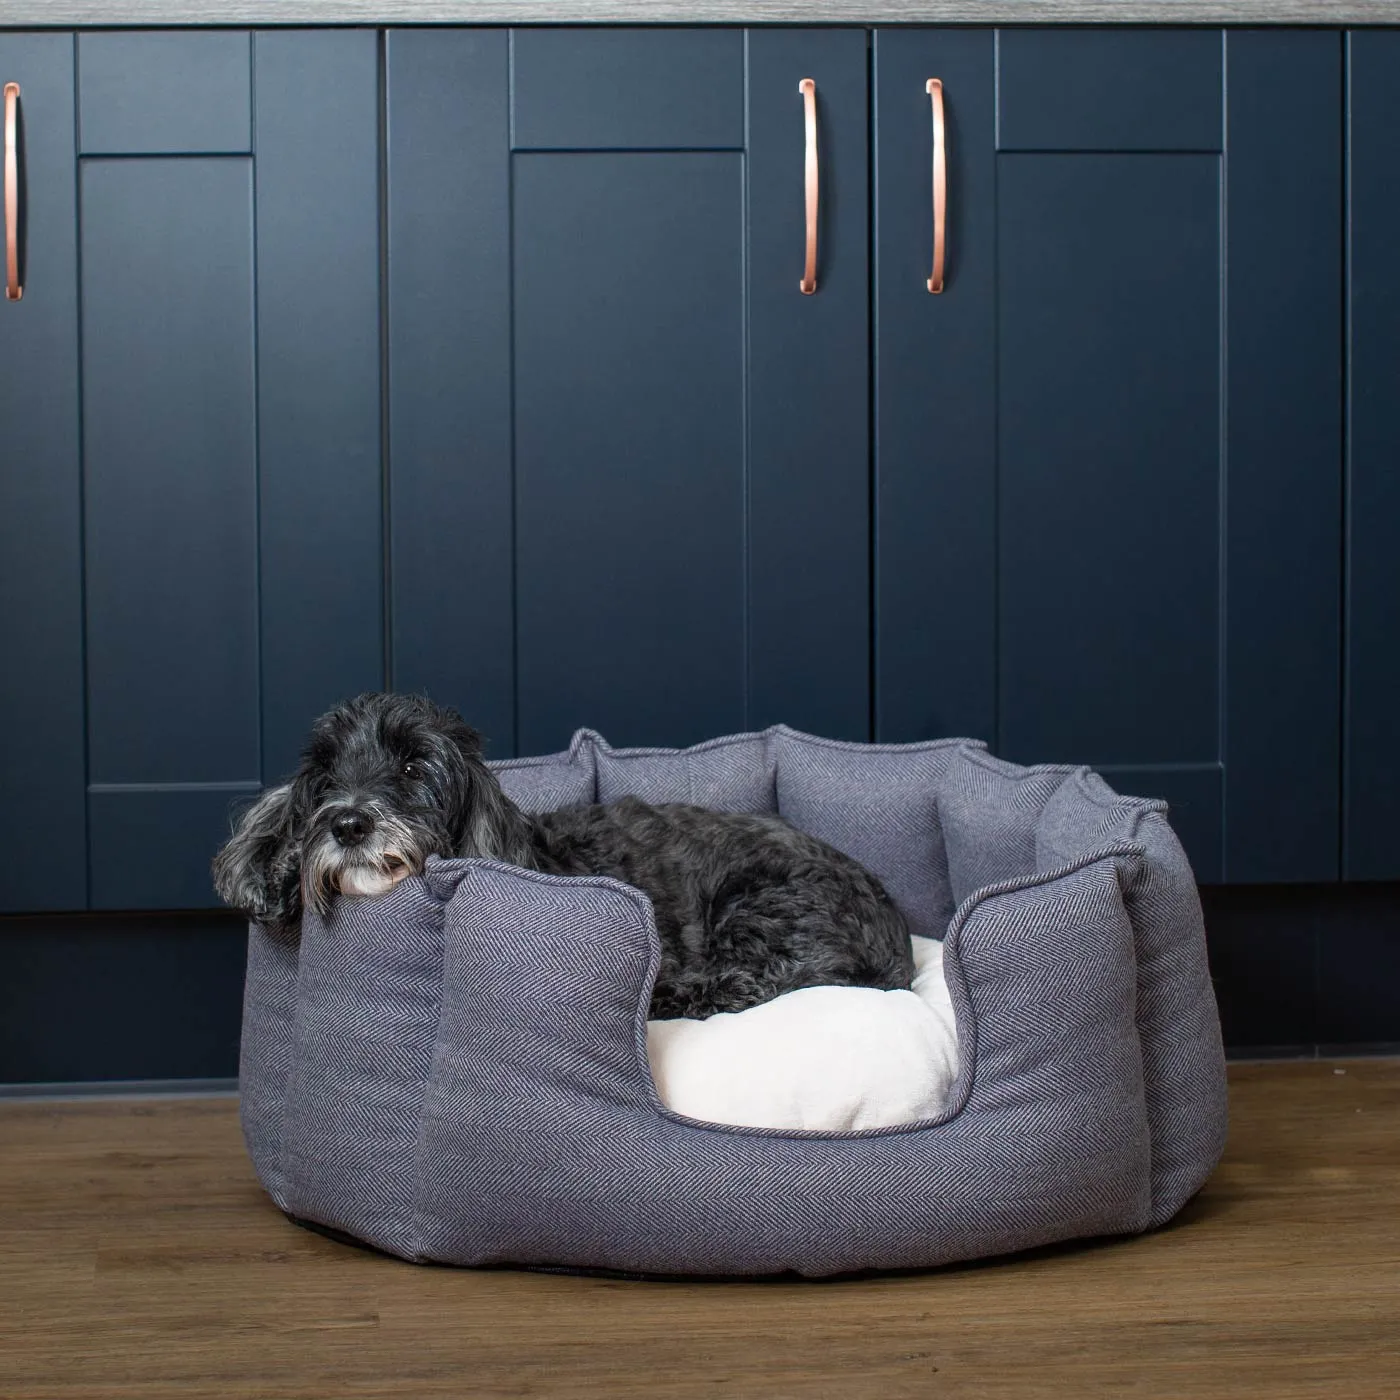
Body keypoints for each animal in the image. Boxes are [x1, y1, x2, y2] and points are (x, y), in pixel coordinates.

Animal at [212, 691, 918, 1013]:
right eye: (326, 771)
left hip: (764, 906)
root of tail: (899, 942)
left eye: (415, 766)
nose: (349, 824)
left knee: (750, 982)